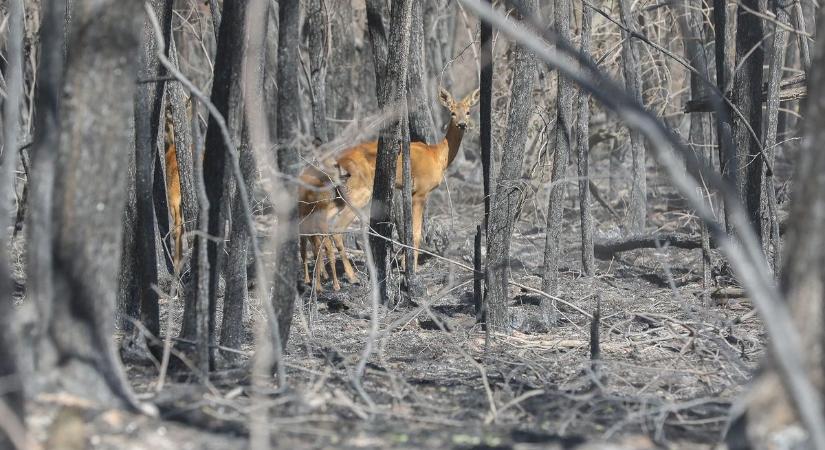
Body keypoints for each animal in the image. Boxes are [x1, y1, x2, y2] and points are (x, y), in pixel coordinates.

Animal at [298, 87, 480, 292]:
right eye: (452, 112)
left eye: (468, 111)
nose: (462, 124)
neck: (438, 156)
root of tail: (338, 163)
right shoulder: (421, 192)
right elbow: (415, 233)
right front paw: (411, 271)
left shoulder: (409, 191)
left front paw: (404, 264)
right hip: (359, 193)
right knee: (336, 228)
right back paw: (350, 277)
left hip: (337, 197)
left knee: (319, 226)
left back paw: (320, 278)